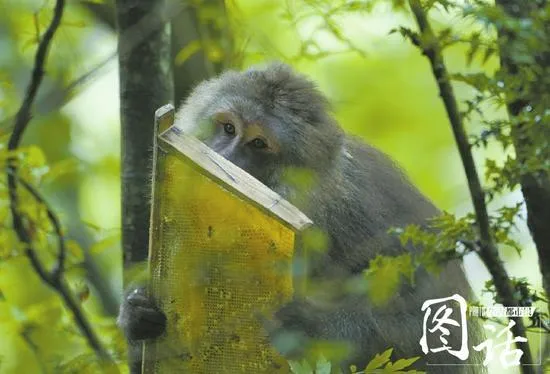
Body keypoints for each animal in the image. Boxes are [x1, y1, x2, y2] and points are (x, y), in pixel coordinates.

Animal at [117, 62, 488, 372]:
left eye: (259, 143)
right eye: (228, 128)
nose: (224, 157)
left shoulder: (362, 218)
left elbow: (424, 329)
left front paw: (308, 328)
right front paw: (136, 314)